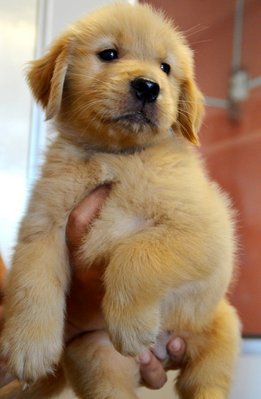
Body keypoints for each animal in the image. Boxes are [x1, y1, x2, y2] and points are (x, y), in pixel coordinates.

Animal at [0, 3, 240, 399]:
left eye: (165, 67)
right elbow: (31, 283)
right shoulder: (42, 226)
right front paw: (27, 347)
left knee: (206, 383)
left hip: (220, 328)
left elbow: (135, 255)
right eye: (109, 54)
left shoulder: (205, 232)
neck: (116, 157)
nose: (147, 86)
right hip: (96, 354)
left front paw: (132, 324)